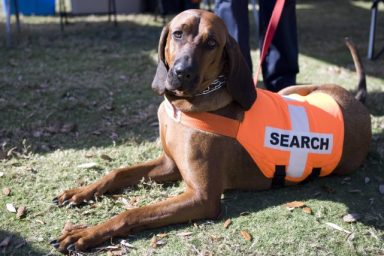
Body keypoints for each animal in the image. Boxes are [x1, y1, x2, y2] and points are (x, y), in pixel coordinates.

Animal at [51, 9, 372, 252]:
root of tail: (357, 102)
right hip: (292, 91)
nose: (182, 72)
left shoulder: (202, 198)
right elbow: (117, 173)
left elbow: (134, 211)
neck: (186, 106)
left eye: (212, 43)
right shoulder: (169, 164)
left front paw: (85, 233)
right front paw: (80, 192)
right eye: (178, 33)